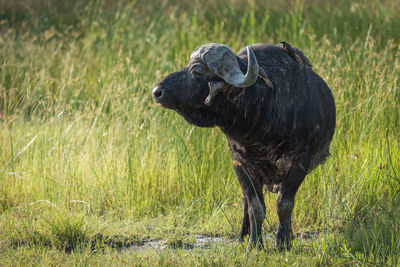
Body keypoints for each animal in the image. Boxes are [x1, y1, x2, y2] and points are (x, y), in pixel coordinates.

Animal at [152, 42, 336, 251]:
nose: (157, 92)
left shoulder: (300, 163)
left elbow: (284, 204)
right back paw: (243, 234)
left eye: (196, 70)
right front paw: (254, 243)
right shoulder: (240, 163)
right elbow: (255, 206)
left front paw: (283, 241)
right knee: (245, 201)